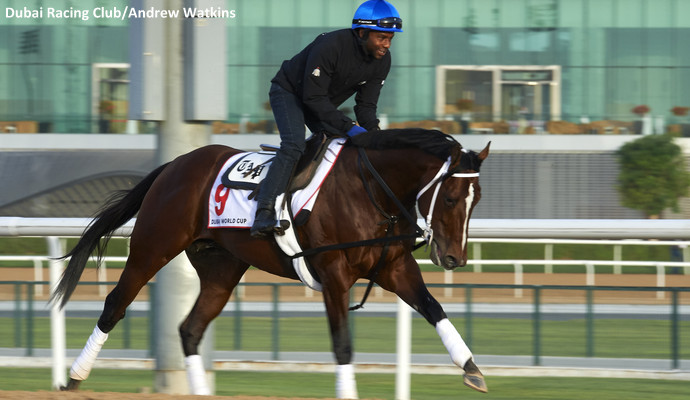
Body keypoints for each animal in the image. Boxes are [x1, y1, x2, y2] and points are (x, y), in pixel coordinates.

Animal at [52, 128, 490, 396]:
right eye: (451, 198)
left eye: (477, 199)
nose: (455, 257)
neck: (371, 191)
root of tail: (173, 165)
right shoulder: (334, 274)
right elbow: (343, 345)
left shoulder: (394, 268)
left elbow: (433, 308)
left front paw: (471, 367)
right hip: (153, 247)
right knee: (116, 303)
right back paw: (73, 378)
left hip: (221, 270)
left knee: (190, 329)